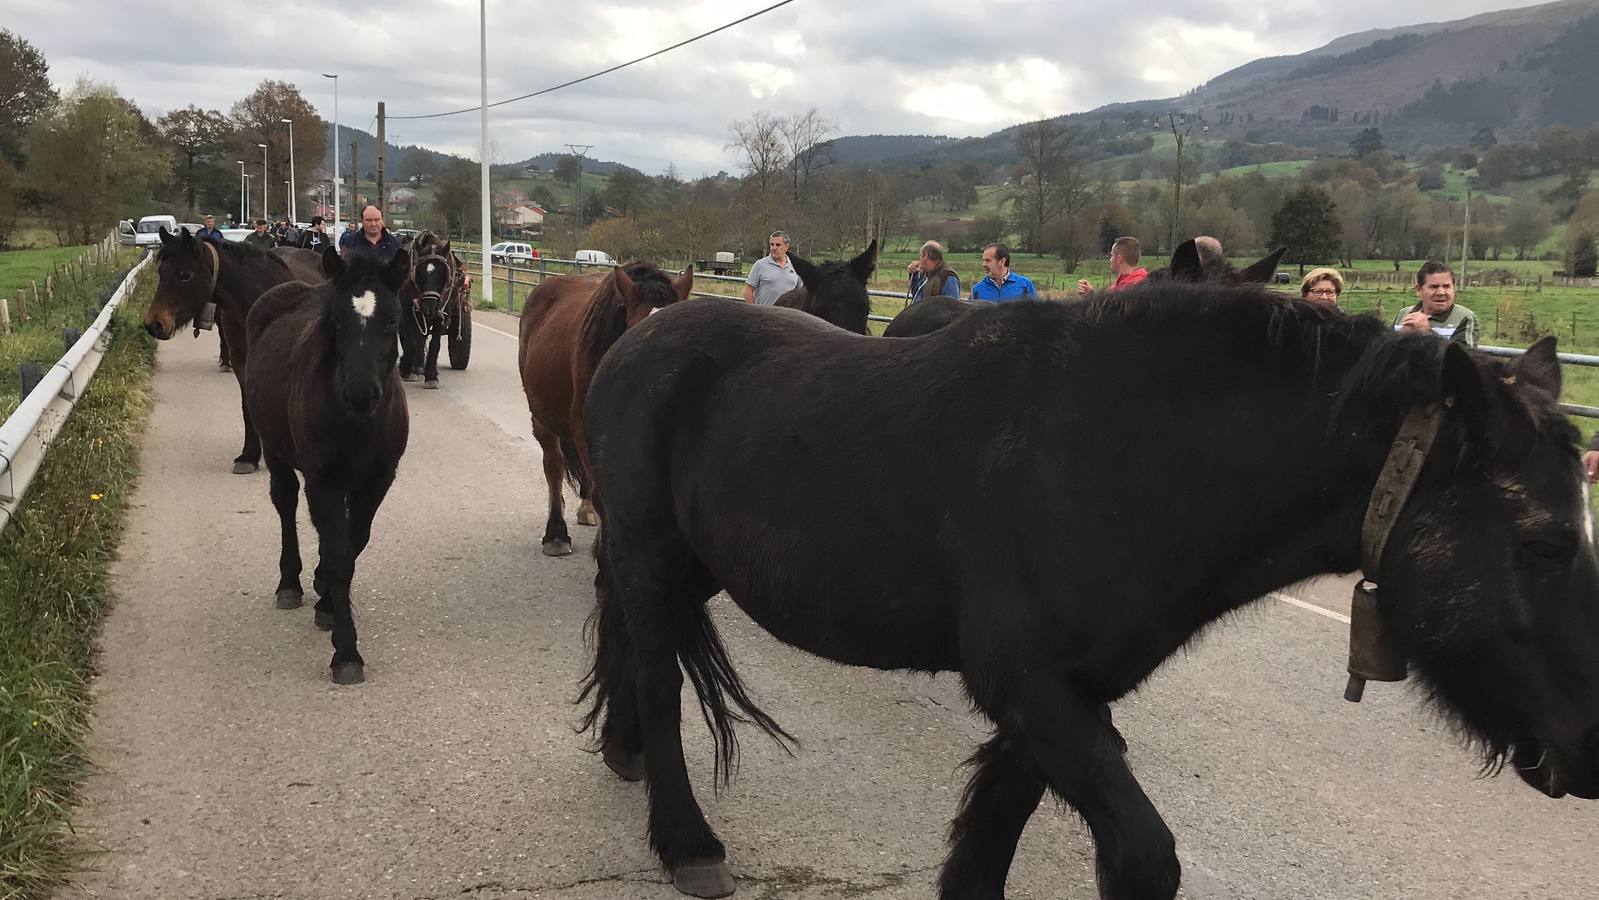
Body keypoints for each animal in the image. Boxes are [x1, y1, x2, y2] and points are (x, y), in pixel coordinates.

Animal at [145, 228, 326, 476]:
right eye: (161, 272)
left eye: (184, 275)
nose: (154, 324)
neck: (255, 298)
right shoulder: (241, 360)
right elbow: (247, 406)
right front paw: (249, 455)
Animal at [244, 246, 412, 684]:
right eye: (336, 321)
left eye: (392, 321)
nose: (361, 394)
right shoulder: (324, 481)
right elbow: (339, 556)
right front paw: (347, 652)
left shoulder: (376, 481)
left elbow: (353, 544)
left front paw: (329, 606)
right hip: (277, 453)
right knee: (286, 503)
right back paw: (290, 583)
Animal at [402, 230, 470, 388]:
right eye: (419, 272)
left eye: (443, 273)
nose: (429, 308)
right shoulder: (408, 312)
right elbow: (412, 340)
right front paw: (410, 369)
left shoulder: (440, 312)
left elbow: (435, 344)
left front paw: (431, 376)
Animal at [582, 289, 1599, 900]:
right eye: (1544, 543)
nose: (1589, 750)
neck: (1123, 455)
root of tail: (641, 335)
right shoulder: (1034, 692)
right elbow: (1142, 857)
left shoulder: (1063, 704)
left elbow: (990, 839)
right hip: (649, 553)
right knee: (661, 681)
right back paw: (685, 839)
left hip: (684, 564)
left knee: (632, 648)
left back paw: (622, 752)